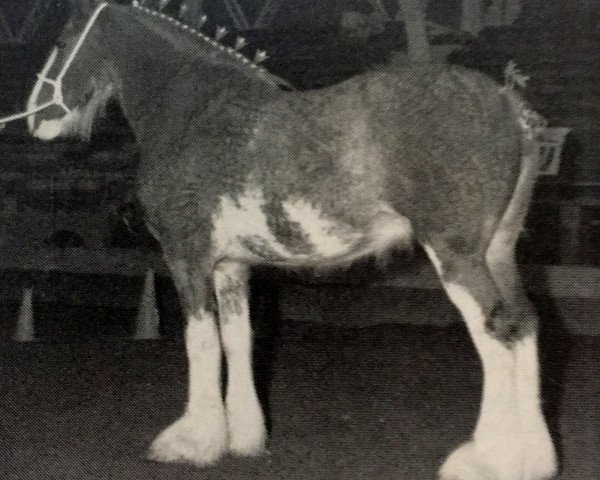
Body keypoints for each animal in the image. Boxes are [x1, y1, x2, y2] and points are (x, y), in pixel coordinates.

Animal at [23, 0, 556, 480]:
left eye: (60, 41)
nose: (32, 119)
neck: (194, 111)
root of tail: (509, 104)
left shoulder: (186, 256)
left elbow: (200, 341)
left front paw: (191, 442)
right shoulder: (231, 266)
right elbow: (237, 339)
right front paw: (243, 437)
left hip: (458, 257)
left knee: (496, 333)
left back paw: (486, 461)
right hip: (498, 252)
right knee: (525, 324)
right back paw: (533, 460)